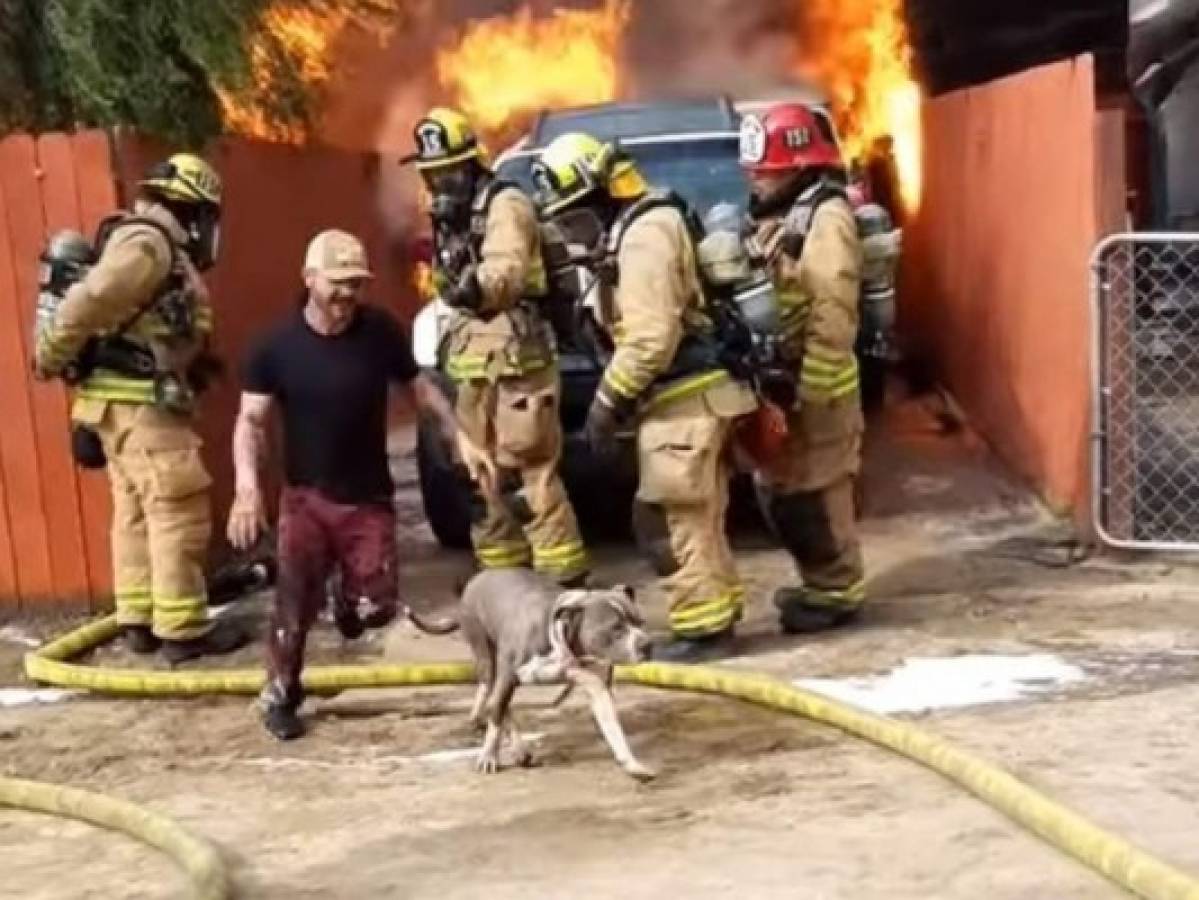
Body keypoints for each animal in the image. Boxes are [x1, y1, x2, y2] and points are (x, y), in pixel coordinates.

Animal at [453, 570, 657, 781]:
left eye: (641, 622)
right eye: (616, 628)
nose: (647, 644)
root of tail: (481, 574)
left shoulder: (598, 687)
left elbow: (614, 729)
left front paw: (632, 764)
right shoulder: (508, 677)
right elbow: (495, 721)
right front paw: (488, 756)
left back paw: (518, 750)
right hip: (486, 654)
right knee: (493, 696)